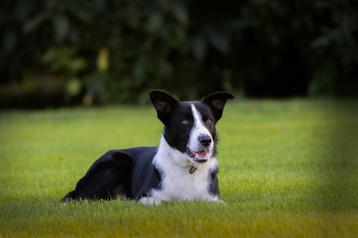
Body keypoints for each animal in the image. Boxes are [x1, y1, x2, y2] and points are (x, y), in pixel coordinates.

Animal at [63, 89, 234, 205]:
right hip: (118, 160)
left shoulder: (213, 200)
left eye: (208, 120)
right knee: (77, 197)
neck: (188, 169)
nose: (206, 140)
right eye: (185, 122)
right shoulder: (145, 197)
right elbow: (162, 201)